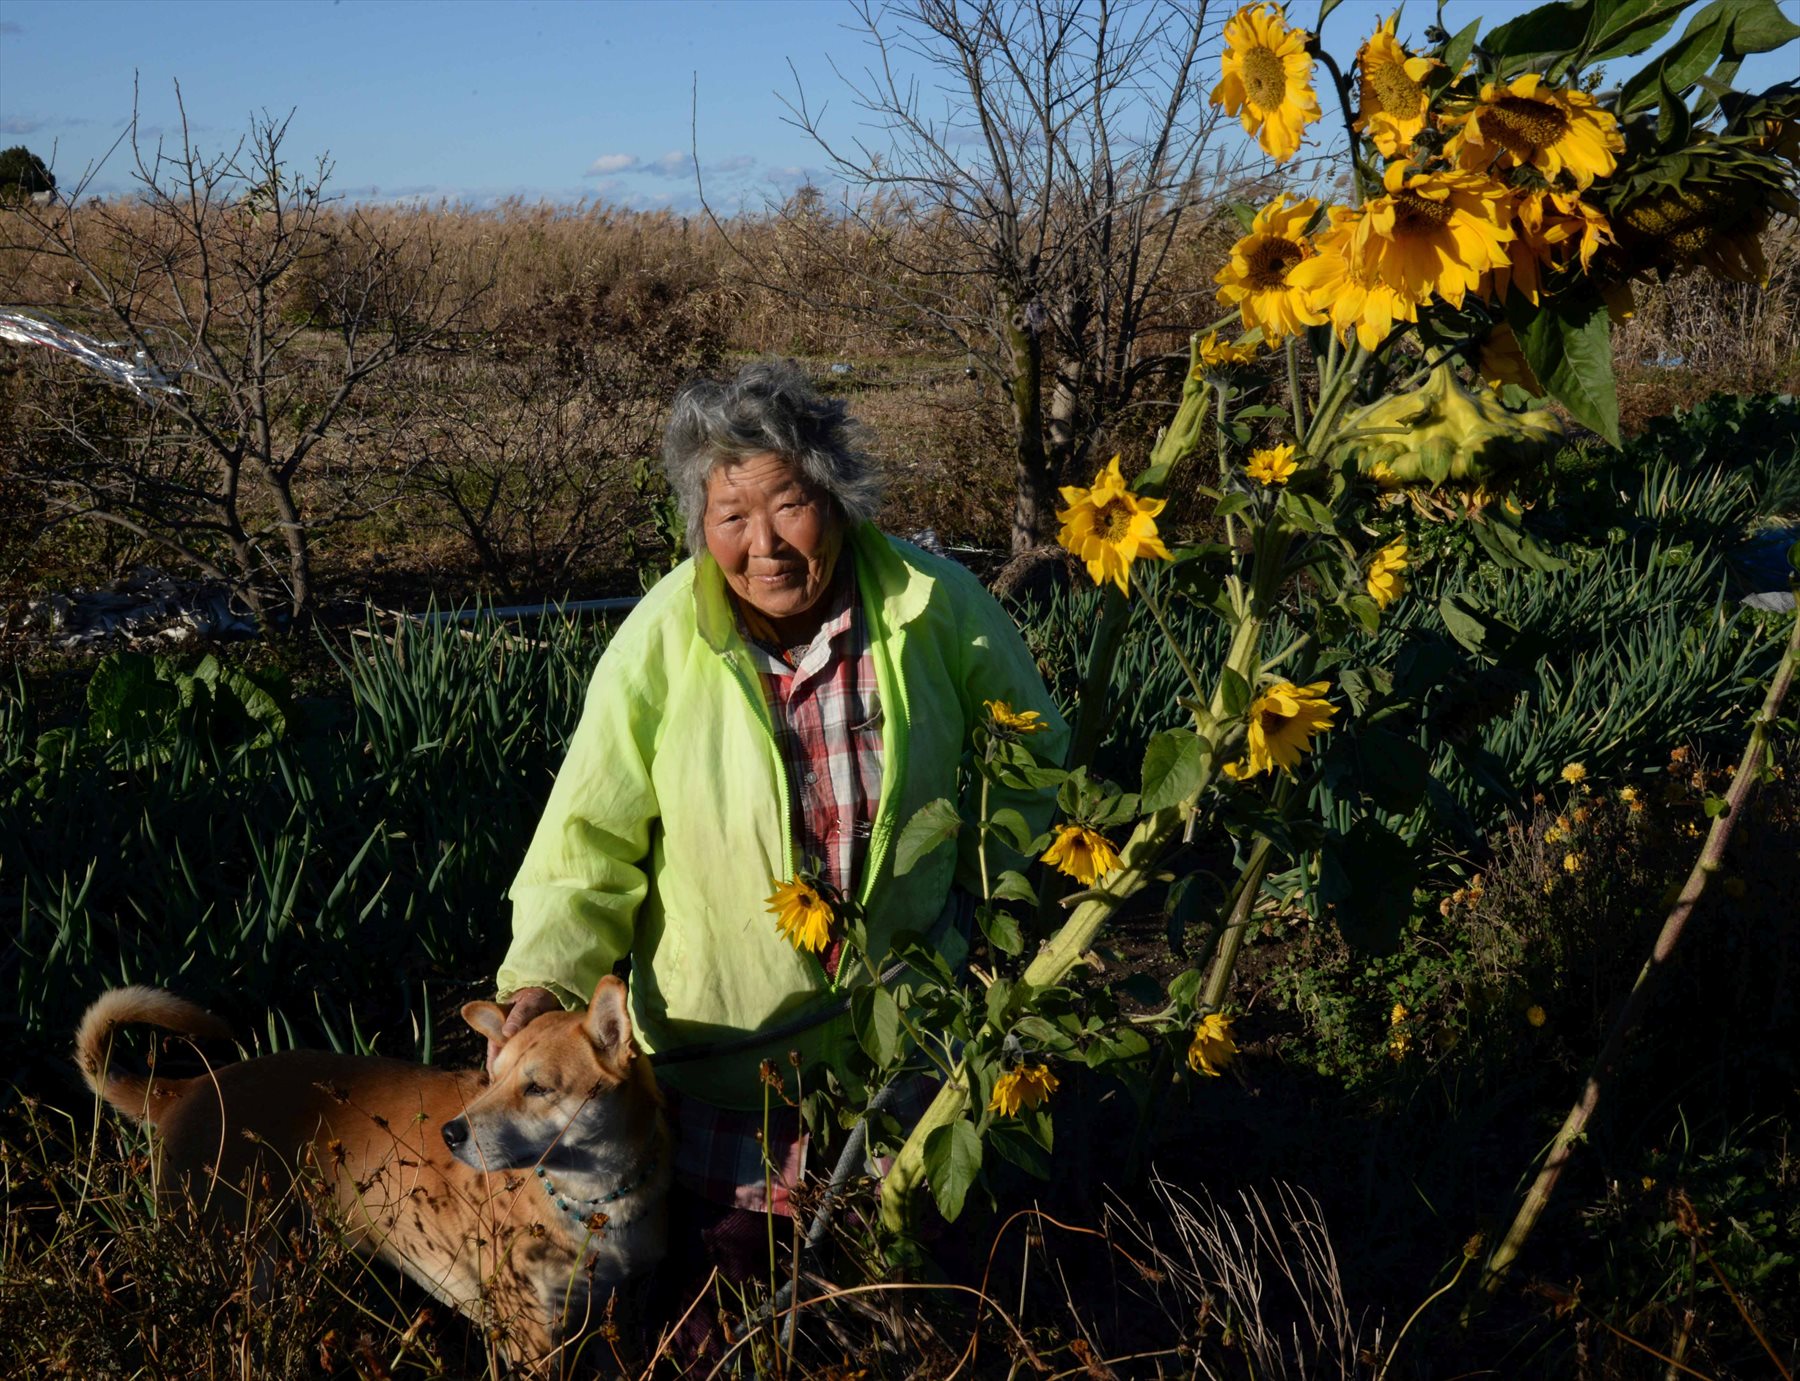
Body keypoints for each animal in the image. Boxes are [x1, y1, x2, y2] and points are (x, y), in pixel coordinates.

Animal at [73, 979, 673, 1375]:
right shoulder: (532, 1338)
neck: (594, 1202)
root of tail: (194, 1086)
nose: (450, 1134)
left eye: (539, 1087)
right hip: (234, 1265)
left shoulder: (611, 1317)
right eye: (494, 1078)